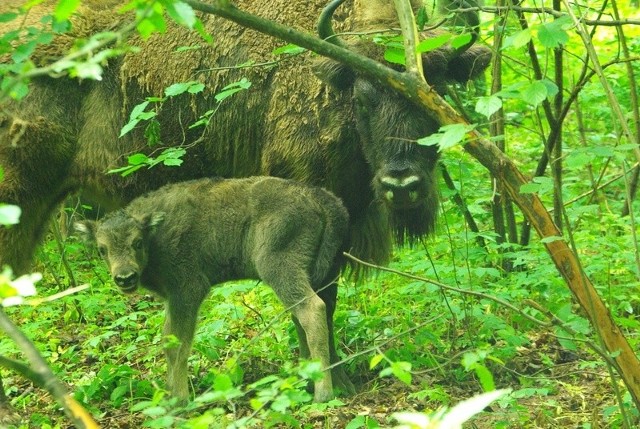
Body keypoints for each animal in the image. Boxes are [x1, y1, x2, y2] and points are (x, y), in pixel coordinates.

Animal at [77, 176, 352, 402]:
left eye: (137, 242)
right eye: (102, 249)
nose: (125, 277)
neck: (155, 235)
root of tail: (323, 199)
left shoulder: (187, 291)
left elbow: (178, 345)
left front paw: (180, 401)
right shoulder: (172, 299)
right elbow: (167, 339)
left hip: (280, 269)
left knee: (312, 311)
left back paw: (322, 394)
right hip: (325, 275)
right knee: (320, 317)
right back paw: (333, 383)